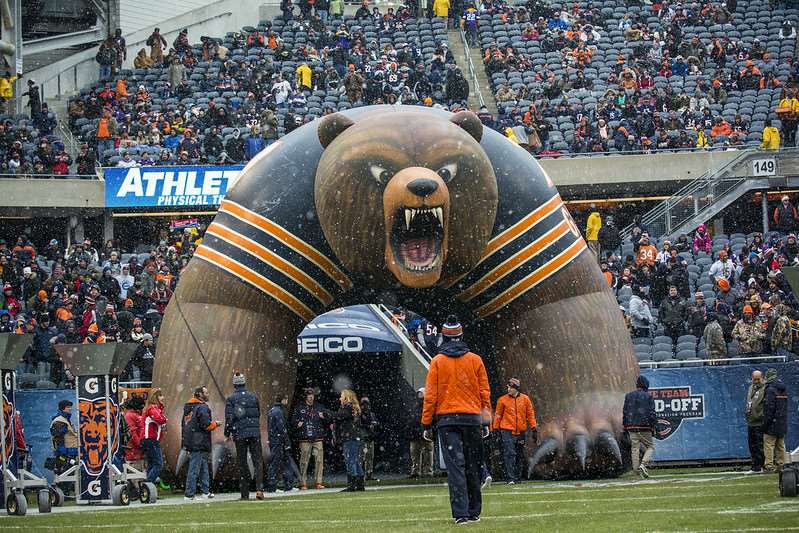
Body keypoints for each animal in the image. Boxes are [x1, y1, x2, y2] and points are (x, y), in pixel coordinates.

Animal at [153, 106, 637, 481]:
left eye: (448, 170)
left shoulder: (529, 220)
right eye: (379, 170)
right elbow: (227, 319)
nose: (422, 185)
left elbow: (559, 315)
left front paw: (581, 437)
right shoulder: (260, 226)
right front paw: (226, 446)